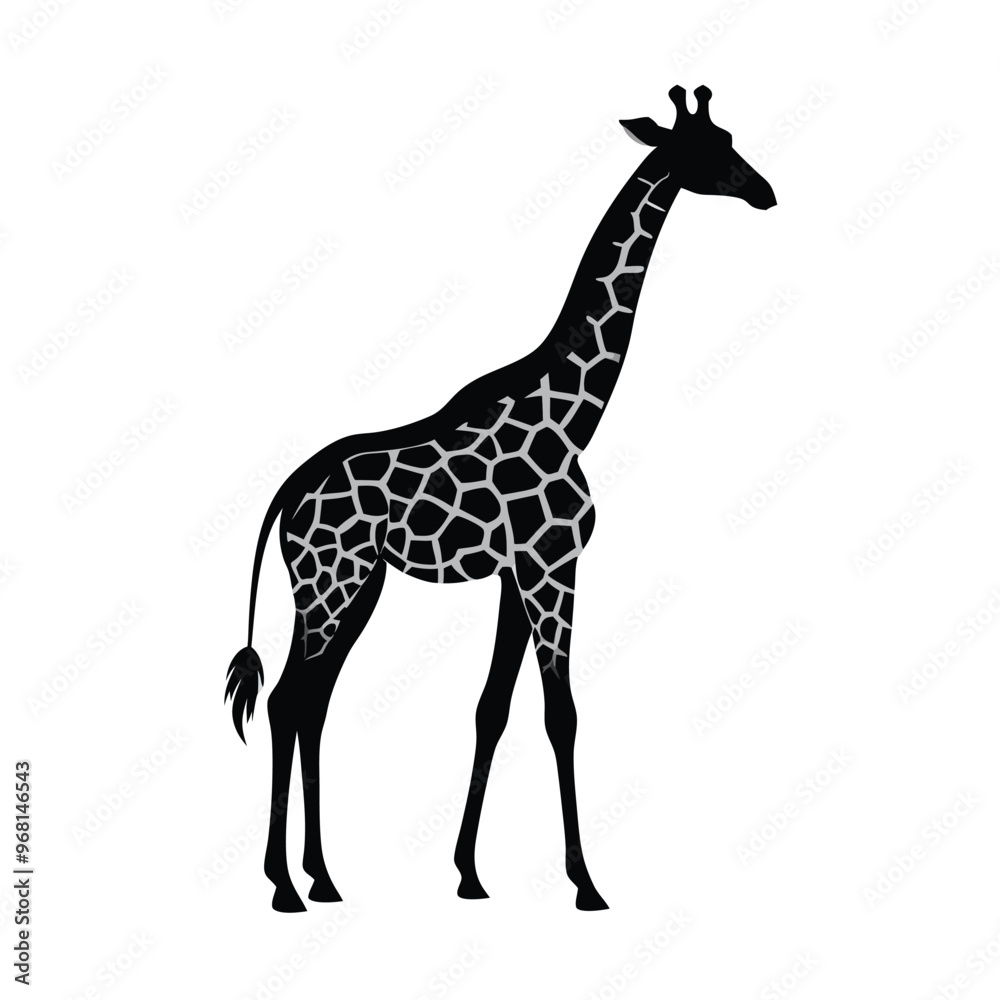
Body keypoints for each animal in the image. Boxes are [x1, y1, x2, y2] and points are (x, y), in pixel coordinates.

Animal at [225, 85, 776, 912]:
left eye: (732, 138)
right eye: (710, 150)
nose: (766, 192)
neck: (574, 412)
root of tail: (288, 493)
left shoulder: (519, 575)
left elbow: (493, 709)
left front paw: (469, 874)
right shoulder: (553, 567)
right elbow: (561, 712)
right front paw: (585, 883)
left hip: (346, 586)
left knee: (309, 701)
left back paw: (318, 876)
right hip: (334, 582)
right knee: (293, 700)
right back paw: (289, 885)